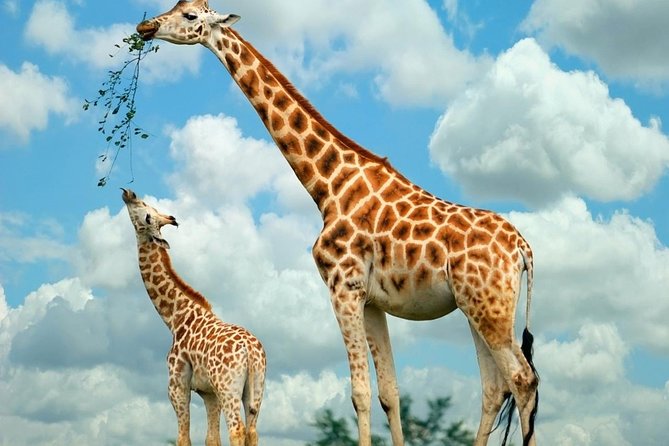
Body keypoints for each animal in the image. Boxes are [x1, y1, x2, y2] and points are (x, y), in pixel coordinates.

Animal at [121, 188, 266, 446]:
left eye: (147, 214)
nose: (129, 193)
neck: (174, 317)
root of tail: (250, 351)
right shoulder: (208, 392)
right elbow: (211, 439)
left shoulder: (177, 385)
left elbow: (183, 438)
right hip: (255, 389)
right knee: (252, 432)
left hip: (228, 387)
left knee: (237, 429)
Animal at [136, 2, 539, 445]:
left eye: (191, 15)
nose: (146, 26)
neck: (327, 186)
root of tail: (523, 249)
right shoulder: (372, 300)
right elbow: (389, 393)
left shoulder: (342, 287)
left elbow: (359, 393)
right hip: (475, 308)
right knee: (494, 386)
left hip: (489, 308)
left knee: (523, 379)